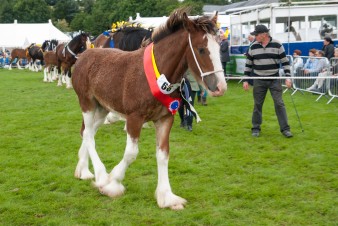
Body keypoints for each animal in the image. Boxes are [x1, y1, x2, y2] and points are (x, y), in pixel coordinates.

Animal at [71, 8, 227, 210]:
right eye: (201, 49)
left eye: (220, 47)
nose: (220, 87)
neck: (159, 75)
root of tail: (83, 56)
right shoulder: (134, 118)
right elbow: (131, 154)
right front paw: (113, 184)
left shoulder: (165, 118)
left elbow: (163, 154)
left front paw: (167, 197)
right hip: (87, 103)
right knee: (89, 135)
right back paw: (101, 176)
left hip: (102, 108)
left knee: (86, 132)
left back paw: (83, 171)